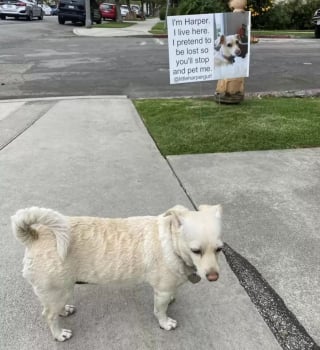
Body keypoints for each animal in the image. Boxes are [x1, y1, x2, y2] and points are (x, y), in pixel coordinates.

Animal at [11, 205, 222, 342]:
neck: (171, 241)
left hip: (61, 290)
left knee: (54, 309)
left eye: (220, 249)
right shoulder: (161, 291)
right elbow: (160, 311)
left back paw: (64, 310)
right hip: (56, 291)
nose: (213, 277)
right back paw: (59, 334)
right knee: (49, 315)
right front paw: (165, 323)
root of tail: (34, 237)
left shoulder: (166, 288)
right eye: (196, 250)